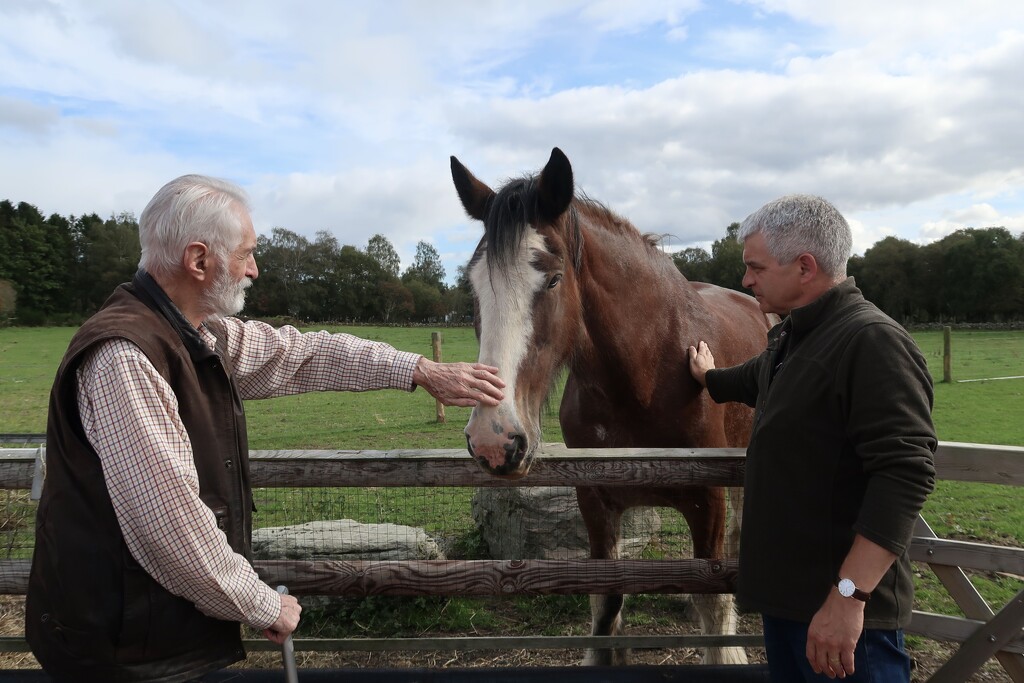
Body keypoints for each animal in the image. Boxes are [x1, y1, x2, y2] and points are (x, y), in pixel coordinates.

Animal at [450, 147, 770, 663]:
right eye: (473, 286)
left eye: (553, 280)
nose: (493, 440)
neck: (646, 378)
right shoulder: (596, 502)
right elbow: (607, 605)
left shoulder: (708, 500)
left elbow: (715, 606)